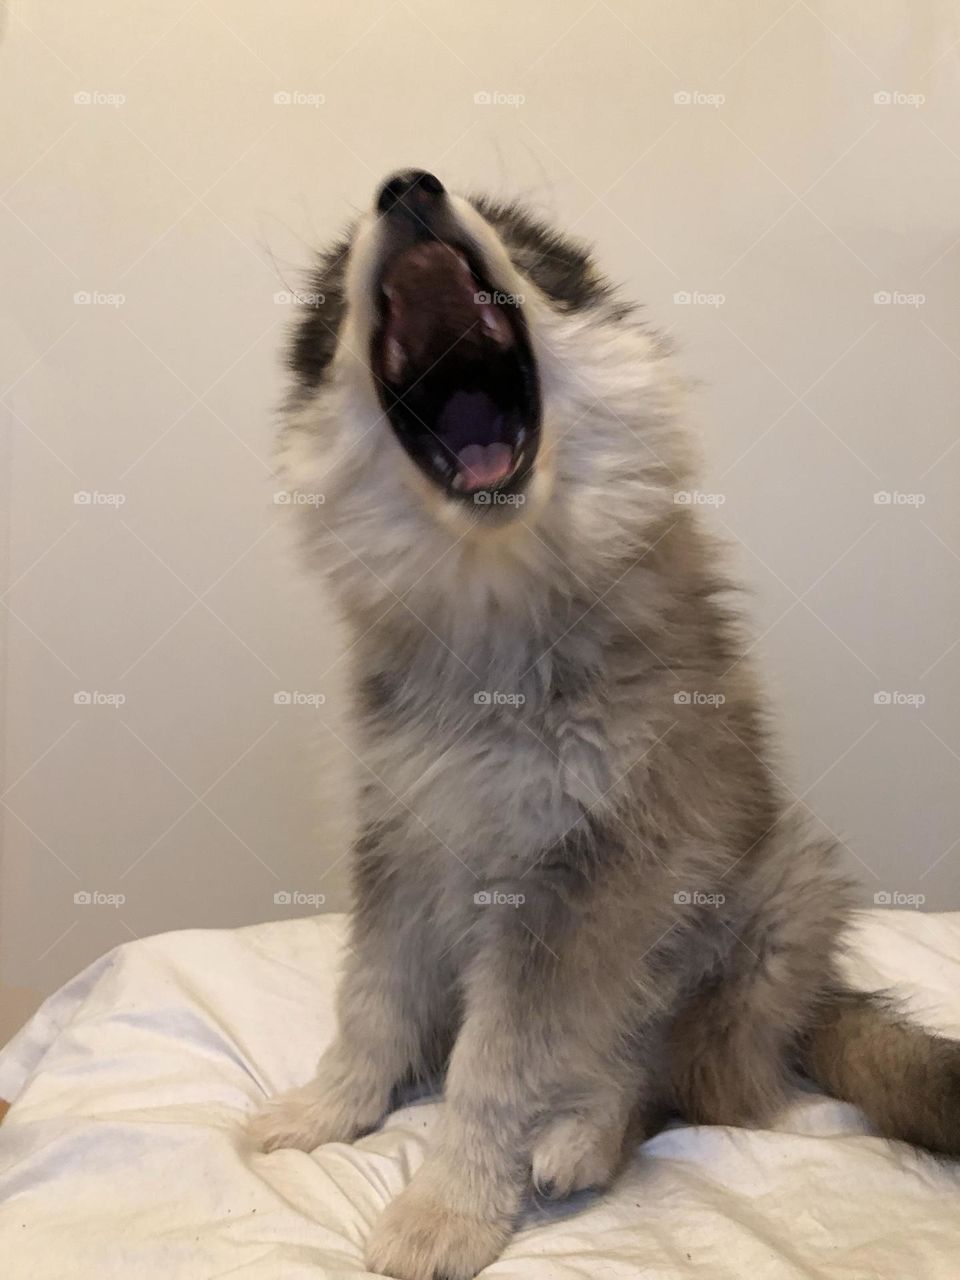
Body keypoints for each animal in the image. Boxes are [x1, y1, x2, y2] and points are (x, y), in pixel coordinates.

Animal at [249, 172, 960, 1280]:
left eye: (529, 249)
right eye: (330, 307)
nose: (407, 187)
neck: (496, 611)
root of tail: (822, 997)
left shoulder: (571, 885)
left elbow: (492, 1069)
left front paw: (448, 1207)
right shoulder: (399, 840)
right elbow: (368, 1003)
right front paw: (331, 1109)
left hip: (758, 925)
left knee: (669, 1075)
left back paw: (585, 1132)